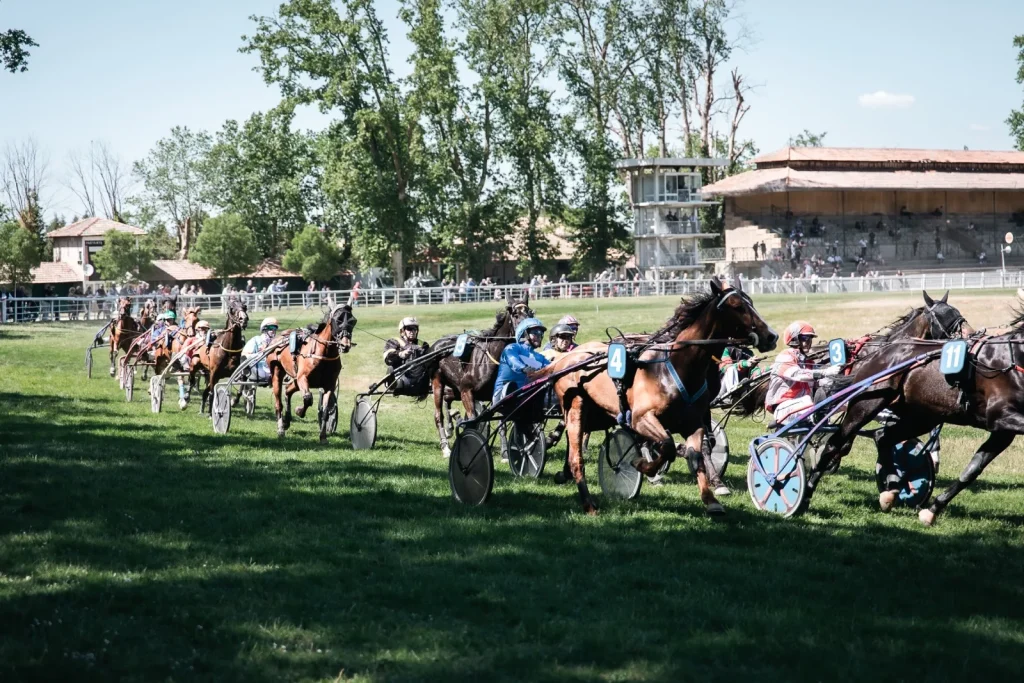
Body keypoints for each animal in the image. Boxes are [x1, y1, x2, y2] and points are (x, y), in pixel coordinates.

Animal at [266, 305, 358, 444]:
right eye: (338, 320)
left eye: (353, 321)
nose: (345, 344)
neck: (324, 353)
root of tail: (276, 340)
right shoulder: (303, 378)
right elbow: (308, 398)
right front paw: (299, 411)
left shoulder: (329, 385)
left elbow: (325, 411)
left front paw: (323, 437)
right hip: (277, 373)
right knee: (279, 402)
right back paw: (281, 428)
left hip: (295, 380)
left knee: (288, 390)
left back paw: (287, 420)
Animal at [428, 294, 536, 458]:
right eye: (516, 314)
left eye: (530, 313)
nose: (528, 337)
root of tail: (438, 344)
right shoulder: (467, 391)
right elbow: (473, 421)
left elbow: (502, 422)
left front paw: (505, 453)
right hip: (438, 382)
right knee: (438, 414)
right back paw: (445, 447)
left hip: (455, 387)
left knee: (448, 398)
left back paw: (450, 425)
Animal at [540, 280, 770, 516]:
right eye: (737, 306)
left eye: (751, 302)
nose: (771, 336)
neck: (679, 366)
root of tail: (565, 359)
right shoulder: (640, 418)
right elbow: (666, 445)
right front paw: (643, 466)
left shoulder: (693, 421)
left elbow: (697, 453)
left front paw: (711, 499)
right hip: (575, 405)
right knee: (576, 457)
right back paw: (588, 503)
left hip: (596, 412)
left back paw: (565, 473)